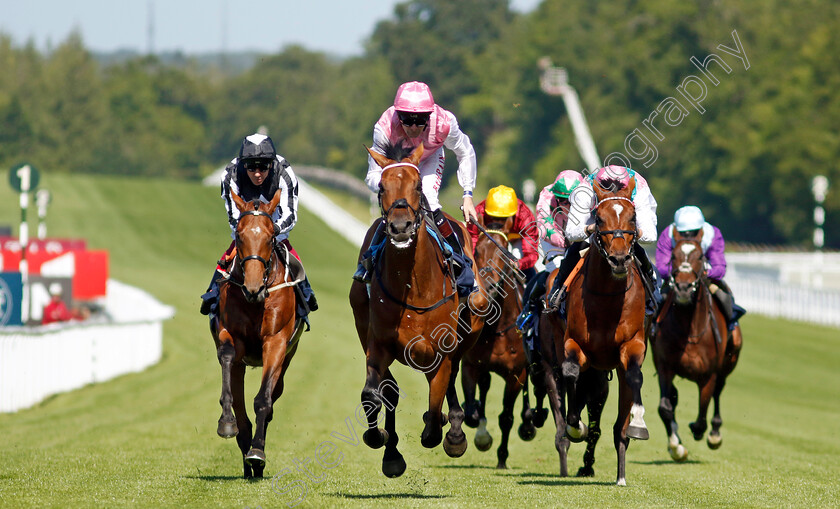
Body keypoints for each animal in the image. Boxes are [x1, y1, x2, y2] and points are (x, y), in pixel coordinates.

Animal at [210, 190, 306, 476]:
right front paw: (227, 422)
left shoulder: (276, 343)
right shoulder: (230, 336)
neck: (255, 303)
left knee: (274, 393)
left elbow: (263, 400)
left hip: (287, 357)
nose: (253, 289)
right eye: (240, 236)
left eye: (271, 236)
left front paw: (257, 453)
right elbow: (227, 357)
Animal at [350, 142, 492, 476]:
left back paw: (452, 429)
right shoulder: (378, 345)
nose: (400, 226)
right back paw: (391, 451)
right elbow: (373, 394)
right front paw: (380, 438)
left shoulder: (441, 349)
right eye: (381, 187)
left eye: (417, 186)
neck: (413, 284)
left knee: (449, 379)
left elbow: (436, 408)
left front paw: (447, 430)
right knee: (390, 391)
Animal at [460, 218, 540, 468]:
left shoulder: (516, 374)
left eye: (503, 253)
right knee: (484, 387)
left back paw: (528, 424)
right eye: (477, 250)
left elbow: (506, 417)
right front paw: (482, 435)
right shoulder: (471, 365)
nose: (488, 287)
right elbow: (472, 412)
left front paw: (502, 458)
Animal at [560, 178, 652, 484]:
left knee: (619, 429)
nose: (619, 259)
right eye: (598, 218)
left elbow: (635, 375)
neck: (607, 298)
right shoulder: (574, 343)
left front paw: (639, 423)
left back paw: (621, 474)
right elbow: (570, 372)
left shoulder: (633, 345)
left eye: (633, 217)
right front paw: (574, 425)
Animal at [648, 230, 740, 460]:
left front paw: (700, 431)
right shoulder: (665, 366)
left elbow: (701, 416)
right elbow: (665, 407)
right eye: (673, 256)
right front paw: (676, 446)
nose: (683, 288)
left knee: (718, 393)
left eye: (700, 256)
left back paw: (715, 433)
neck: (689, 330)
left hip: (727, 364)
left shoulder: (709, 374)